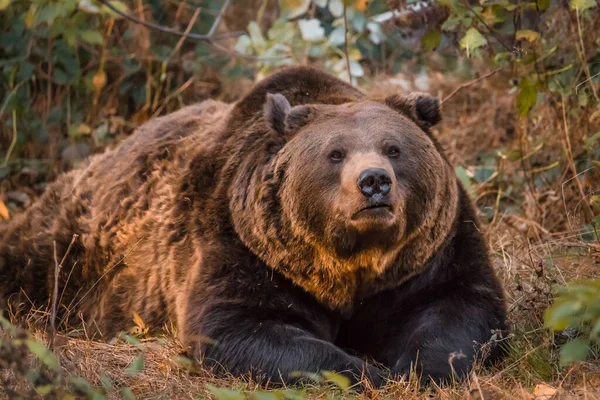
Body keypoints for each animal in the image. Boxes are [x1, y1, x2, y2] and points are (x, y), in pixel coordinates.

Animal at [0, 65, 506, 388]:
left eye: (394, 148)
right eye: (335, 153)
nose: (374, 182)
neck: (351, 264)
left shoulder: (431, 252)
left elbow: (459, 308)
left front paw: (414, 369)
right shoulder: (243, 244)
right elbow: (239, 326)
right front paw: (368, 372)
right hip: (73, 250)